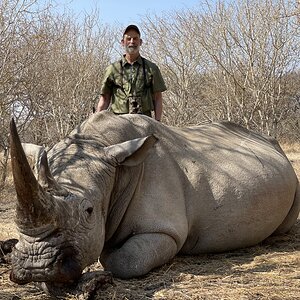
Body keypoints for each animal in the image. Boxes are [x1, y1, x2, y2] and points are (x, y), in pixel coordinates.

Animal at [8, 111, 298, 288]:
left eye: (89, 211)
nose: (36, 268)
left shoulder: (165, 231)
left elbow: (124, 261)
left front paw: (106, 256)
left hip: (291, 176)